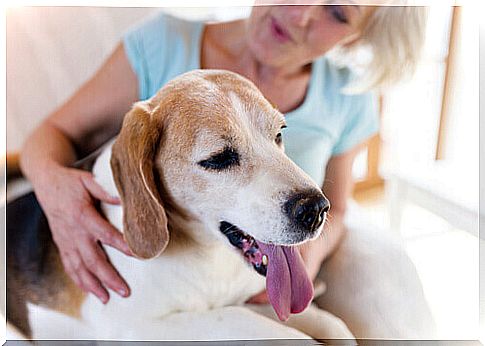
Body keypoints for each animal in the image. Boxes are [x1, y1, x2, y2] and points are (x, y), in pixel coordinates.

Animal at [7, 69, 354, 340]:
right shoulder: (140, 329)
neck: (208, 257)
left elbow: (333, 324)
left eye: (279, 133)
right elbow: (257, 324)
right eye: (218, 158)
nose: (316, 209)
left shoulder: (255, 299)